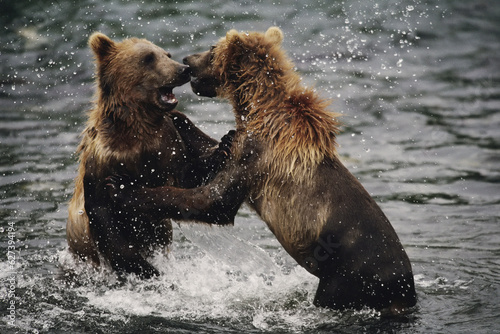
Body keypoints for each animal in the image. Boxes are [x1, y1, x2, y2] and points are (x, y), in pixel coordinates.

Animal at [66, 32, 234, 280]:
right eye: (148, 58)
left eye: (167, 54)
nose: (183, 69)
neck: (139, 127)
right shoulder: (103, 162)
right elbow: (106, 218)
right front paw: (147, 269)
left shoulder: (169, 140)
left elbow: (186, 177)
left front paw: (223, 145)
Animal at [109, 26, 418, 314]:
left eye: (212, 48)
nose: (187, 60)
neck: (255, 108)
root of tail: (405, 288)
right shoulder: (246, 143)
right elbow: (214, 157)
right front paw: (180, 119)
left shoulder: (256, 156)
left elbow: (213, 200)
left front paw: (124, 191)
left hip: (349, 275)